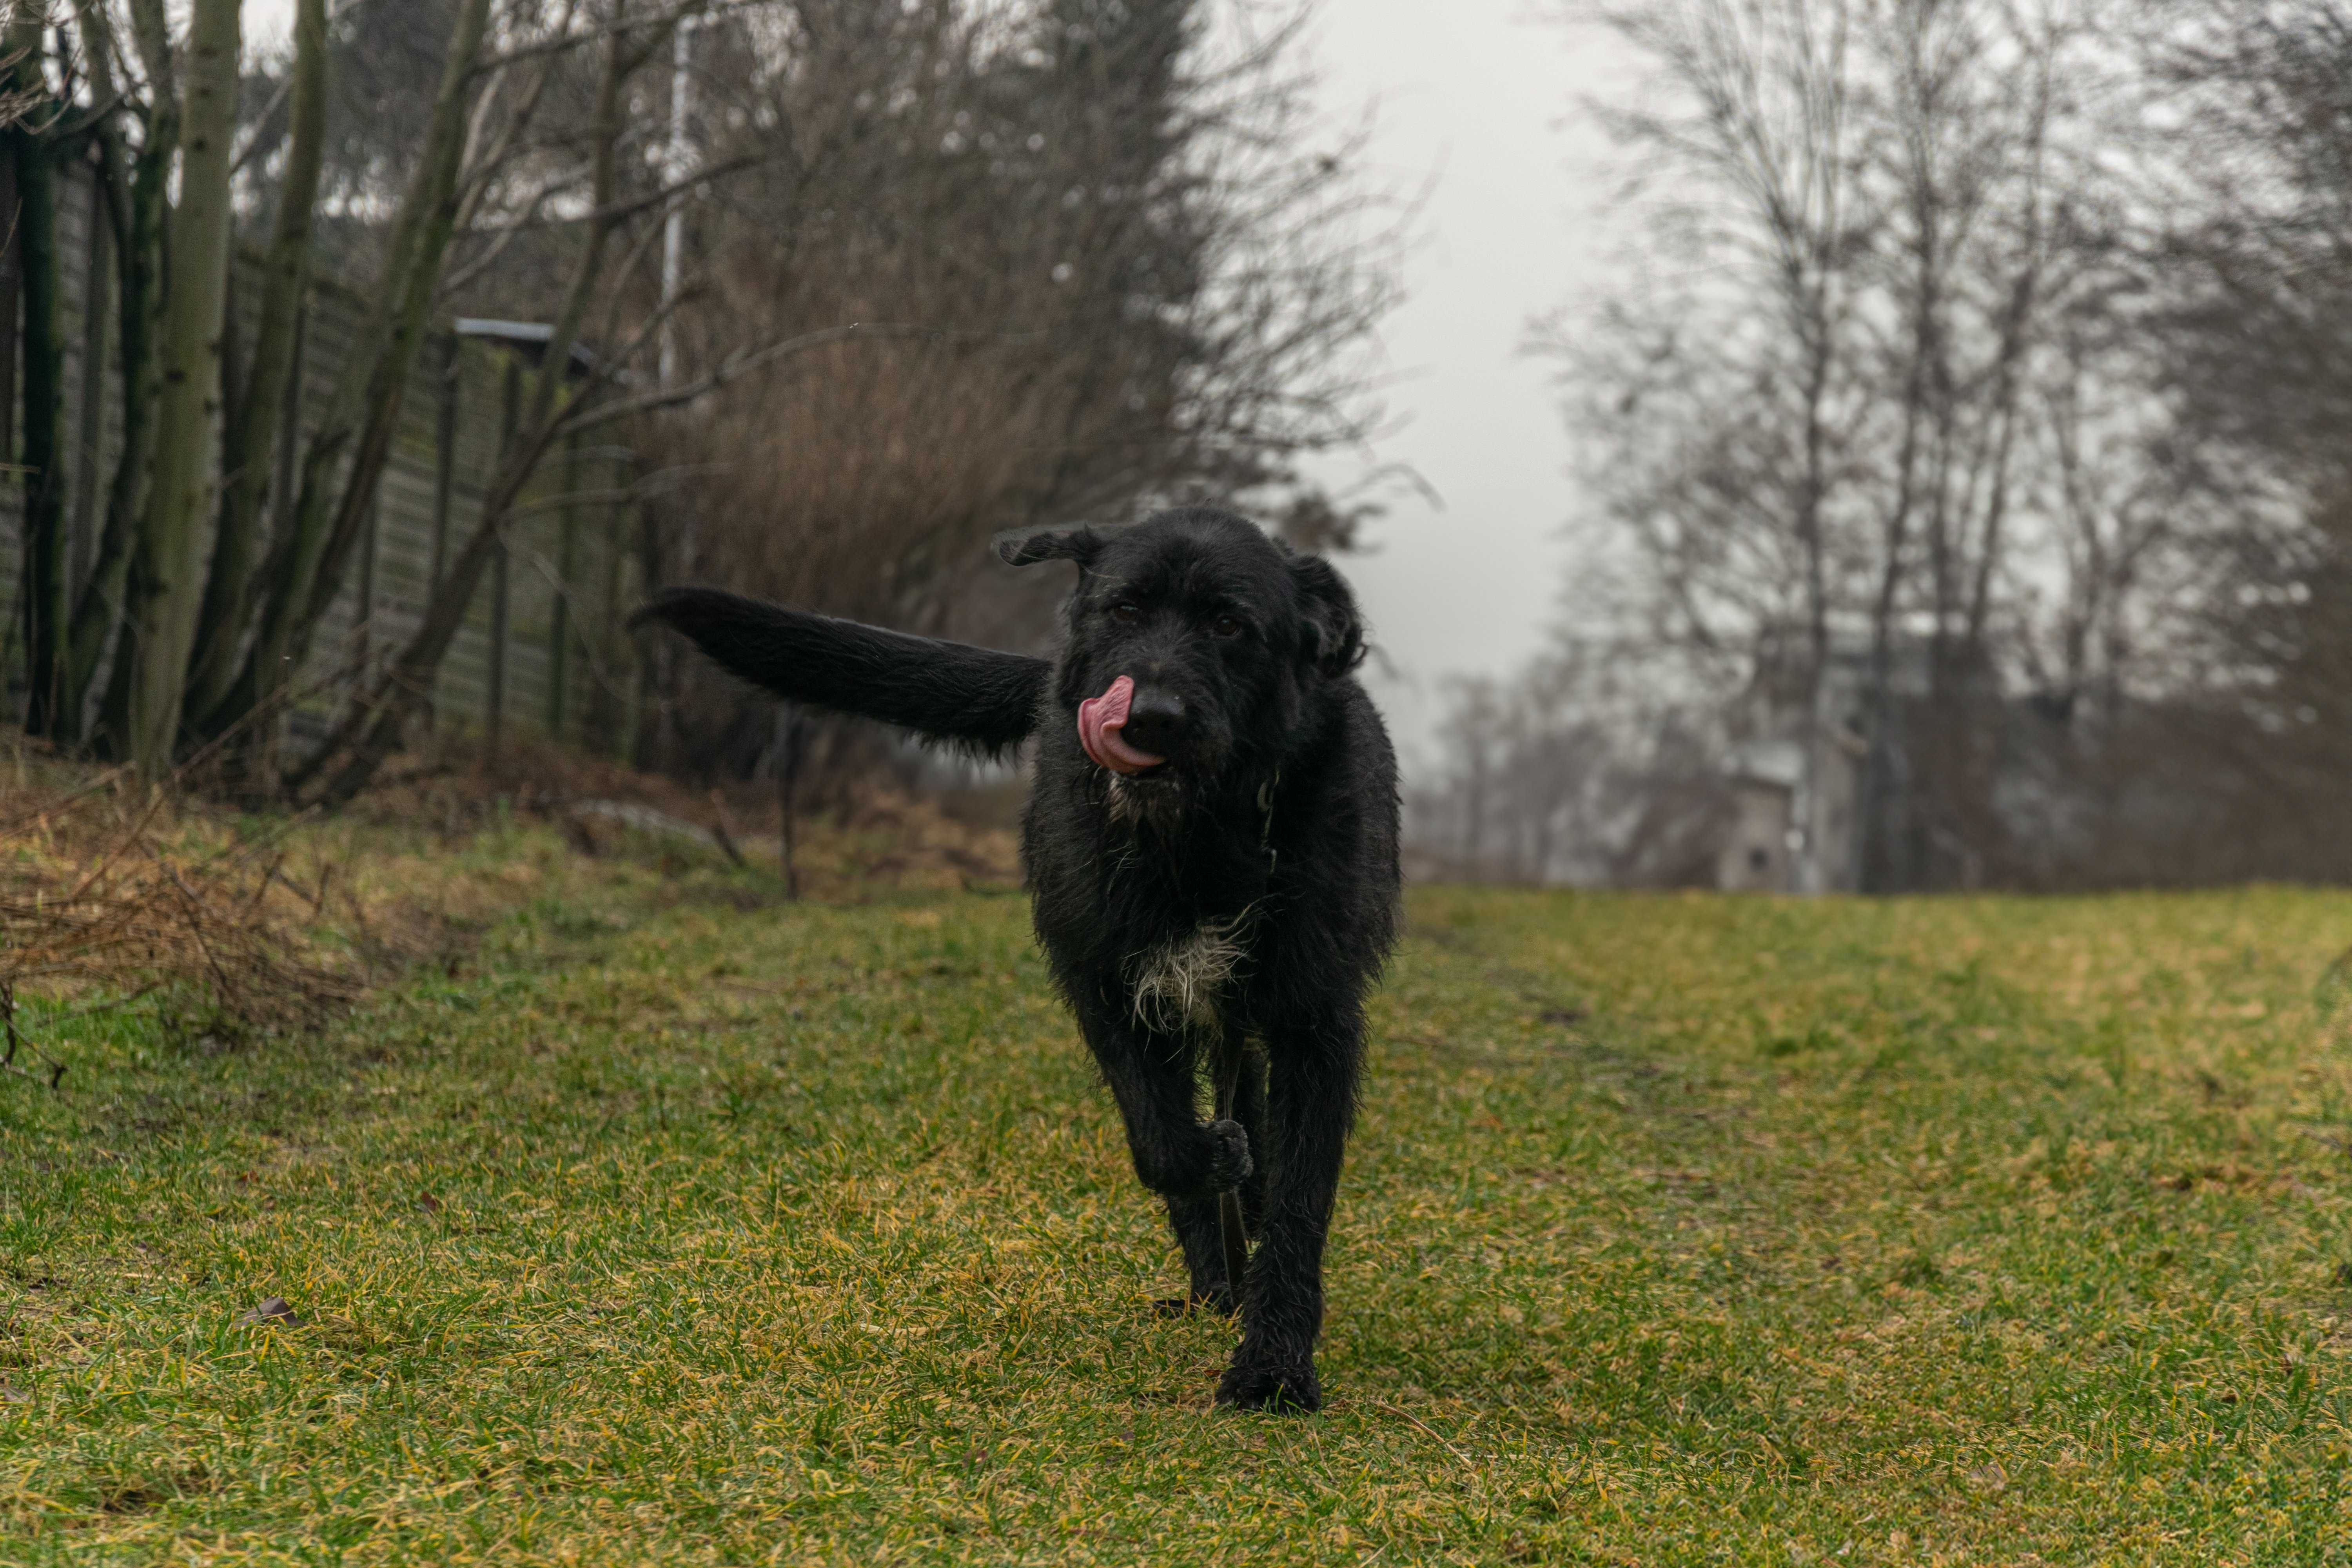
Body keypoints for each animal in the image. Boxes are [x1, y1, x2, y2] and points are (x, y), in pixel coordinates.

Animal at [640, 505, 1392, 1410]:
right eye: (1124, 610)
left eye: (1229, 624)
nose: (1150, 718)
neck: (1199, 840)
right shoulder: (1106, 985)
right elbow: (1164, 1144)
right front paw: (1215, 1173)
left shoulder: (1316, 1021)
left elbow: (1298, 1197)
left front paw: (1275, 1363)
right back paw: (1214, 1283)